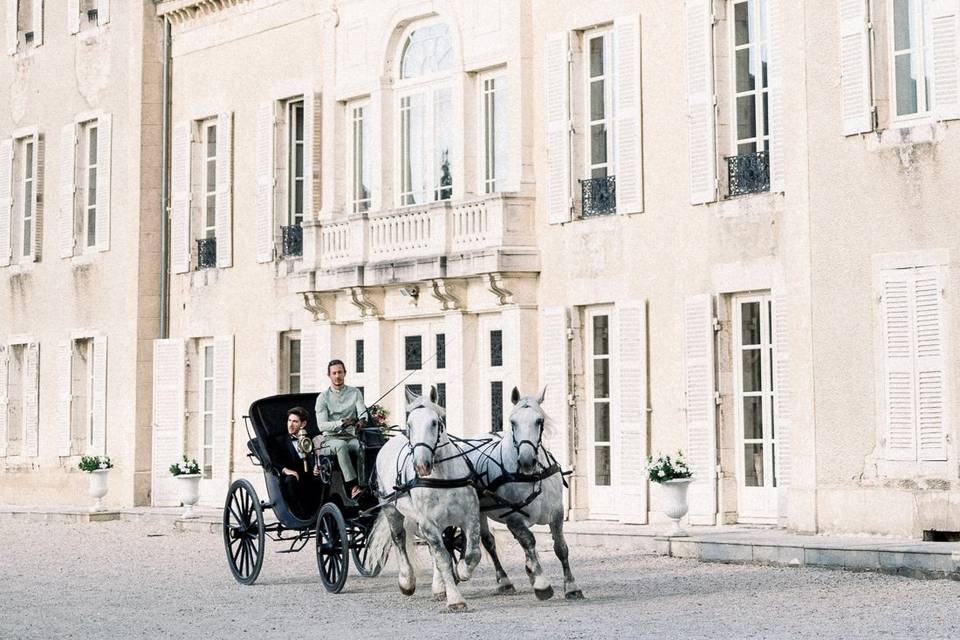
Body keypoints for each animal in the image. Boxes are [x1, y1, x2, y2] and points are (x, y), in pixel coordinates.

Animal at [366, 388, 480, 612]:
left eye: (435, 422)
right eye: (409, 424)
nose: (421, 465)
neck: (442, 476)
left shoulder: (470, 517)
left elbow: (472, 553)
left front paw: (461, 571)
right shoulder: (428, 523)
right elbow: (443, 559)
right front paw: (455, 599)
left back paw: (438, 587)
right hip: (391, 510)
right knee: (399, 540)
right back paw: (406, 581)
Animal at [464, 384, 584, 600]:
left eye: (539, 420)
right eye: (513, 421)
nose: (526, 460)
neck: (532, 477)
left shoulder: (557, 513)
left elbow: (561, 548)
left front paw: (571, 586)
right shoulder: (514, 518)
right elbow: (529, 541)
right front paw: (541, 583)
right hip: (476, 512)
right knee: (487, 541)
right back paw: (503, 580)